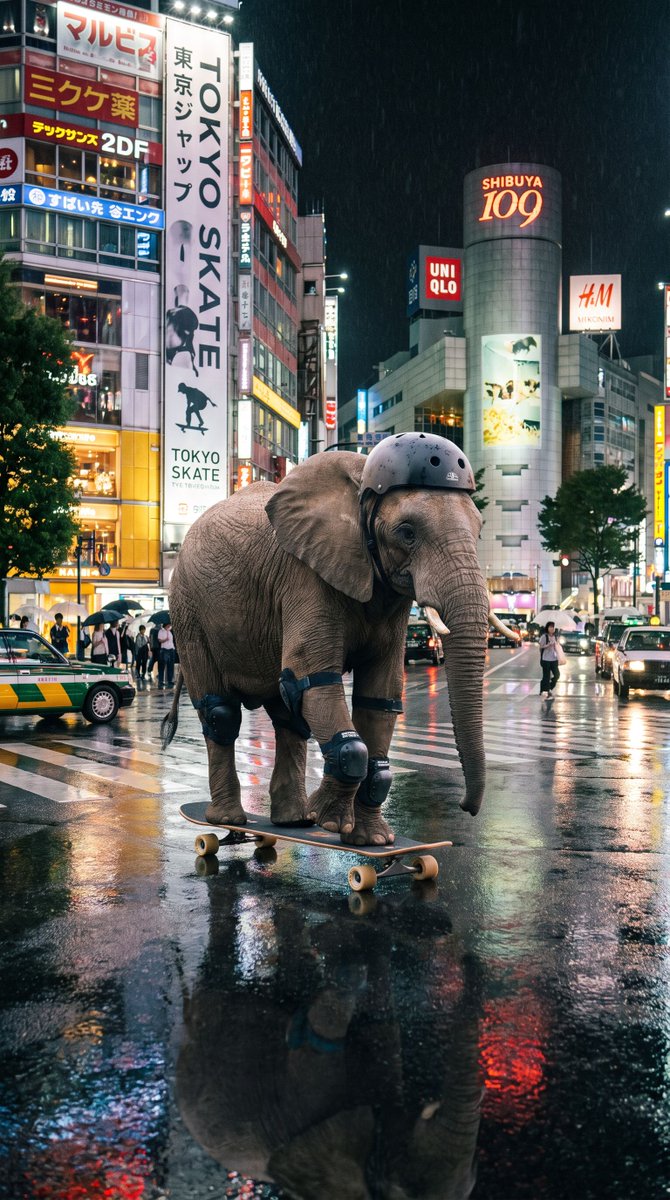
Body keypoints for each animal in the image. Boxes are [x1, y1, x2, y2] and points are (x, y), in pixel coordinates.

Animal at [163, 433, 491, 845]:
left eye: (480, 530)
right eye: (407, 533)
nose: (467, 807)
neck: (363, 481)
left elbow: (380, 697)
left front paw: (372, 841)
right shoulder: (305, 576)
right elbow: (316, 680)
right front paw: (331, 822)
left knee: (288, 715)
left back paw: (292, 821)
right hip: (188, 609)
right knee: (222, 712)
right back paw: (229, 822)